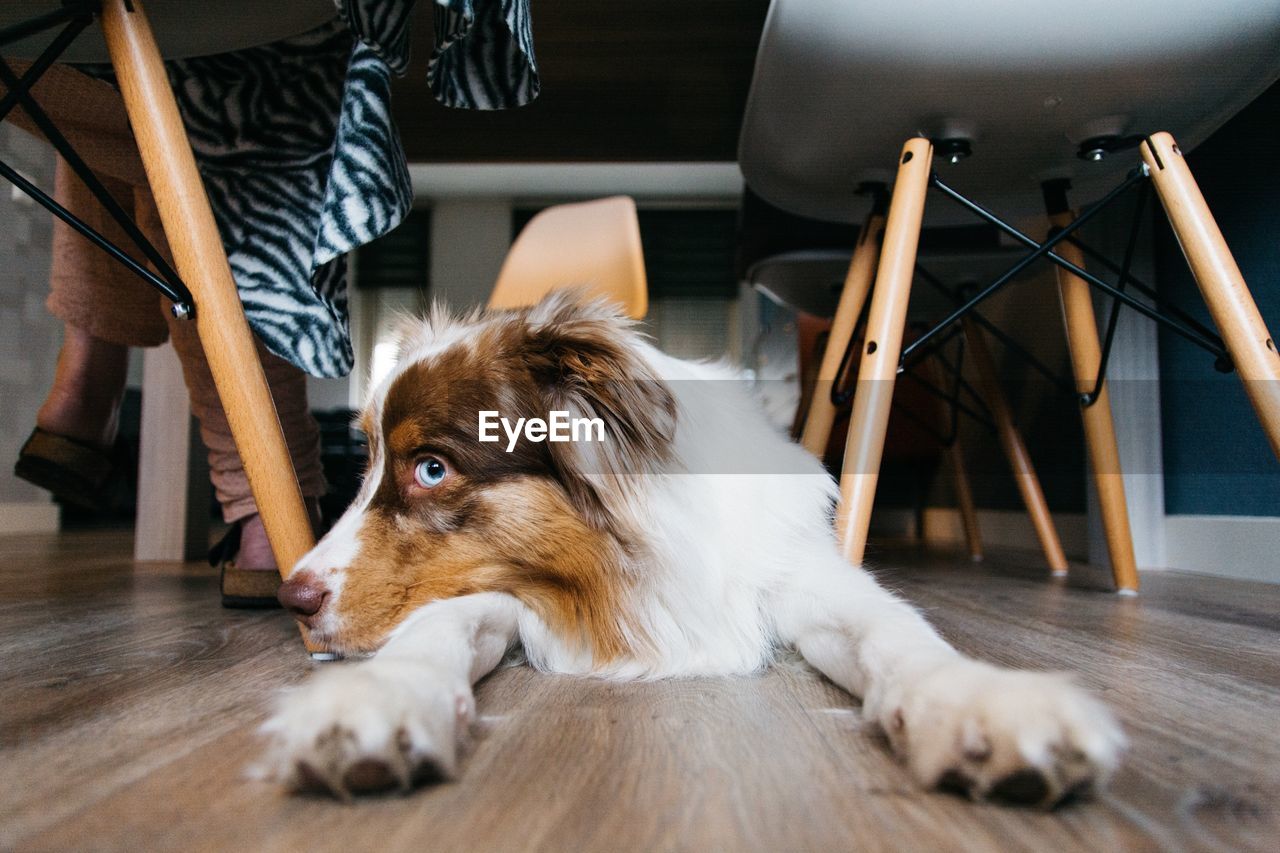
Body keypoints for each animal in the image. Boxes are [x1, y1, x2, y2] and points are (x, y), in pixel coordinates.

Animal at [259, 292, 1121, 804]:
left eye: (431, 468)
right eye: (370, 460)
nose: (290, 597)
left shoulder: (800, 575)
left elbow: (897, 630)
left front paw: (983, 702)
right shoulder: (498, 586)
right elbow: (433, 627)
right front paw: (377, 699)